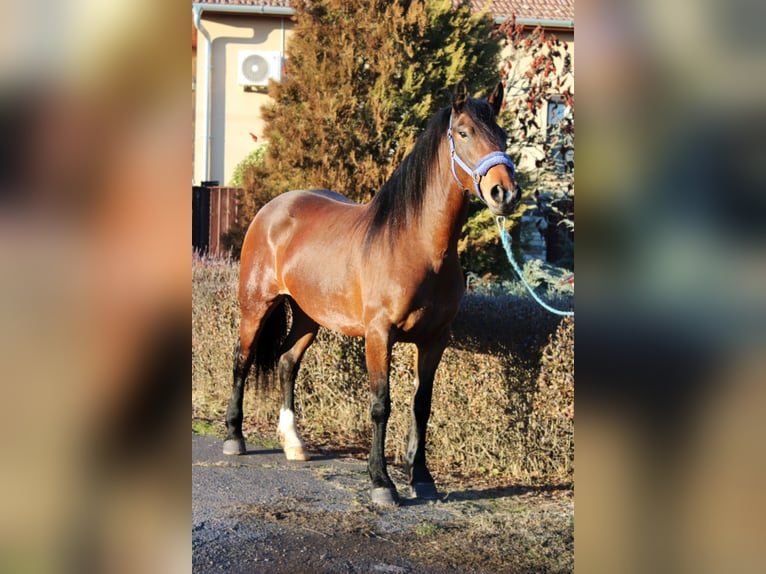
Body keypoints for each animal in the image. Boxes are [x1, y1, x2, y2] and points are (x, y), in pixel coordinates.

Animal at [224, 82, 520, 506]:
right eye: (464, 133)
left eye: (503, 135)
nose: (504, 194)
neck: (416, 245)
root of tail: (273, 208)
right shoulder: (380, 335)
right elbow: (381, 404)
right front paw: (382, 482)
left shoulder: (435, 339)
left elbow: (421, 405)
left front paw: (422, 478)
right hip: (255, 306)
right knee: (242, 361)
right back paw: (235, 437)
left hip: (309, 316)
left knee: (286, 362)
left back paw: (294, 443)